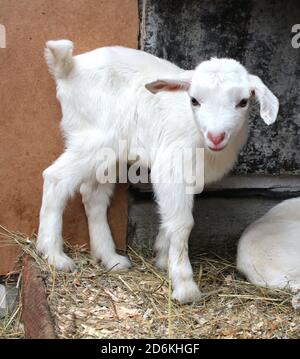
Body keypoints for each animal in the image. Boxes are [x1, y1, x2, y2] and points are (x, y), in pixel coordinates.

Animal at [37, 39, 278, 304]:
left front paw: (164, 258)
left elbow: (169, 217)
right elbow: (182, 223)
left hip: (108, 153)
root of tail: (70, 66)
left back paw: (110, 258)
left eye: (243, 102)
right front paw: (184, 285)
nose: (216, 136)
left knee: (93, 196)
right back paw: (54, 255)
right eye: (194, 100)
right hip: (94, 138)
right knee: (56, 177)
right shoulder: (171, 166)